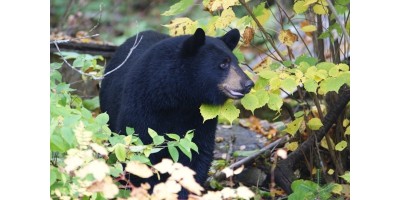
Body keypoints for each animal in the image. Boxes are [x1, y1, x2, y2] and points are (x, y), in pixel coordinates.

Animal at [99, 28, 253, 194]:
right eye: (223, 63)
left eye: (236, 62)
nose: (248, 84)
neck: (181, 97)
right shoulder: (143, 104)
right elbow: (139, 148)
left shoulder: (198, 116)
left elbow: (196, 150)